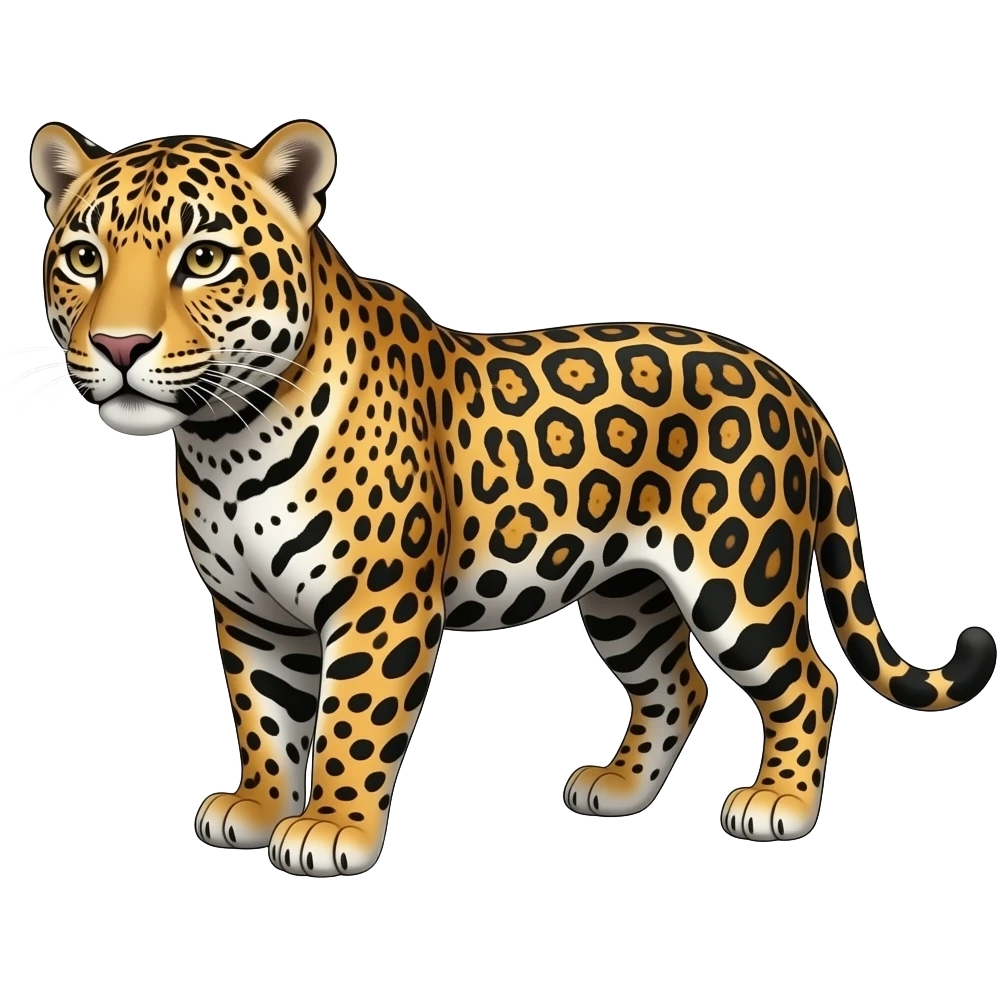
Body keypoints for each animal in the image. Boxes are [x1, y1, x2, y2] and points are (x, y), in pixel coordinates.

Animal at [27, 119, 996, 876]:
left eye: (204, 258)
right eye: (82, 257)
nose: (118, 346)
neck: (226, 438)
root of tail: (791, 385)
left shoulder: (379, 605)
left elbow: (350, 722)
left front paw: (330, 827)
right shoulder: (250, 611)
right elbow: (266, 714)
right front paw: (261, 807)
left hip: (738, 579)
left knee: (808, 680)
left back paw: (778, 805)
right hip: (625, 593)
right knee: (677, 684)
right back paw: (618, 788)